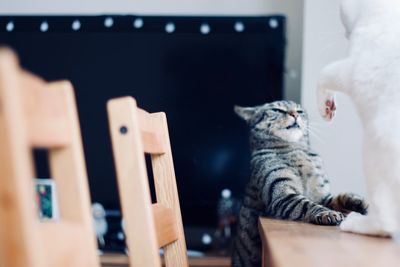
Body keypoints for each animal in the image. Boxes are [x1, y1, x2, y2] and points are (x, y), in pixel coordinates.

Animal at [231, 101, 368, 267]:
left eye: (300, 111)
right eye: (277, 110)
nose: (294, 114)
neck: (296, 149)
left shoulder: (322, 196)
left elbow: (339, 198)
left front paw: (358, 202)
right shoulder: (281, 194)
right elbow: (306, 204)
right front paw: (327, 213)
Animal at [318, 0, 400, 239]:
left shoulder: (349, 68)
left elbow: (323, 73)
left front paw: (325, 107)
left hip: (374, 147)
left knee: (385, 221)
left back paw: (356, 223)